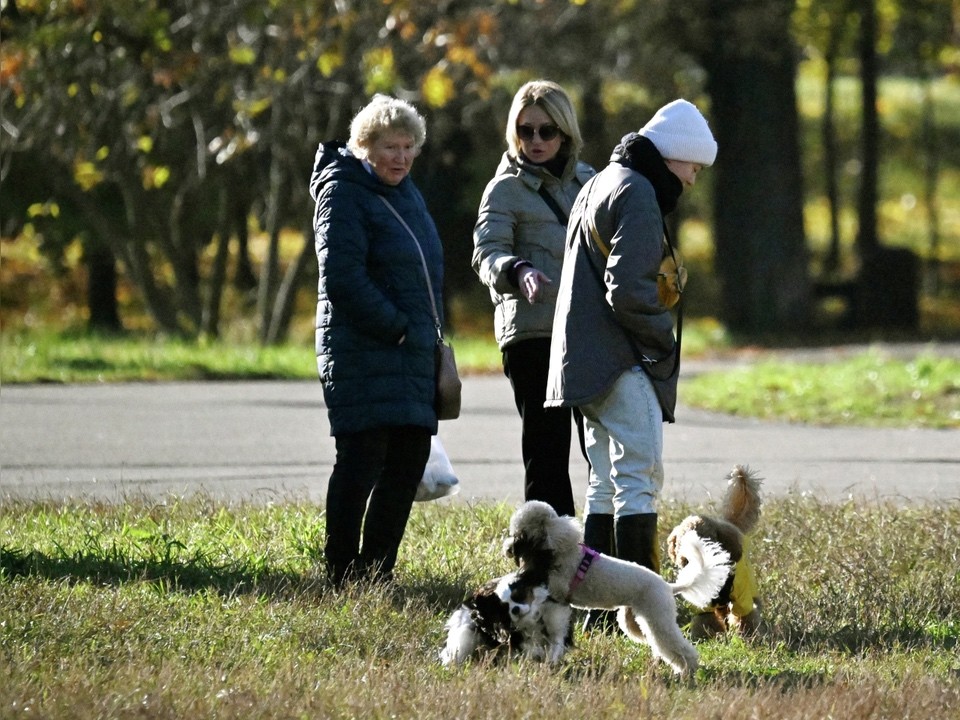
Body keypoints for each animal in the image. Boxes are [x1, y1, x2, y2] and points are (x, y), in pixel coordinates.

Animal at [440, 572, 568, 668]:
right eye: (504, 608)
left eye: (518, 596)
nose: (515, 609)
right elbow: (530, 649)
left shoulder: (557, 629)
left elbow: (556, 647)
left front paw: (551, 663)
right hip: (465, 634)